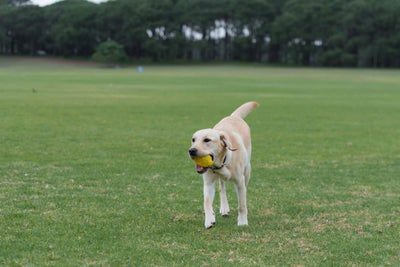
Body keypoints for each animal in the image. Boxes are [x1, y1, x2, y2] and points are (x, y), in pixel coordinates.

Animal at [188, 101, 260, 229]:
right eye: (193, 140)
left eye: (207, 140)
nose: (191, 151)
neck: (221, 163)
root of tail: (234, 116)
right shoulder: (208, 183)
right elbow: (207, 202)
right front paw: (209, 219)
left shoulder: (240, 181)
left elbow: (242, 204)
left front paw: (242, 221)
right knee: (222, 188)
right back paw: (224, 208)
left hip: (247, 171)